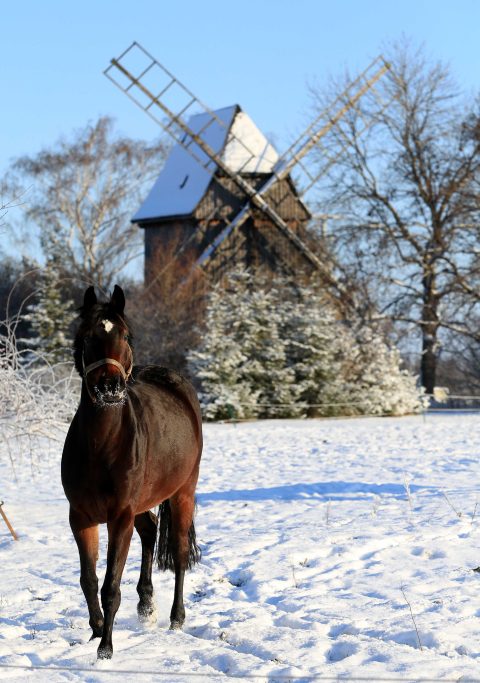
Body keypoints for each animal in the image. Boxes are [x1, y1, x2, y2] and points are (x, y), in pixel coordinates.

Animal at [61, 285, 203, 659]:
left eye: (126, 335)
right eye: (87, 336)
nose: (110, 387)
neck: (102, 444)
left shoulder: (119, 516)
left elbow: (111, 585)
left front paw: (106, 649)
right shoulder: (81, 517)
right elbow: (89, 579)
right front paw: (96, 630)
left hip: (183, 493)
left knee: (179, 552)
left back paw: (176, 618)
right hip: (143, 503)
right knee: (151, 531)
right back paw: (146, 606)